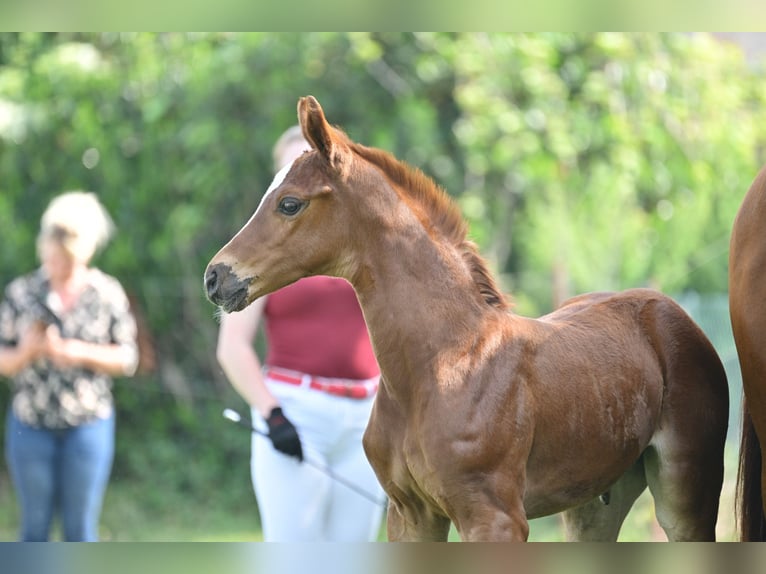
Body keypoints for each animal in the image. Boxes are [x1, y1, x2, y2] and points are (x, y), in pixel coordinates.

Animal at [205, 96, 729, 541]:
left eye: (289, 203)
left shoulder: (494, 519)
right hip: (594, 504)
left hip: (686, 493)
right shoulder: (410, 516)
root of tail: (669, 311)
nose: (215, 276)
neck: (441, 363)